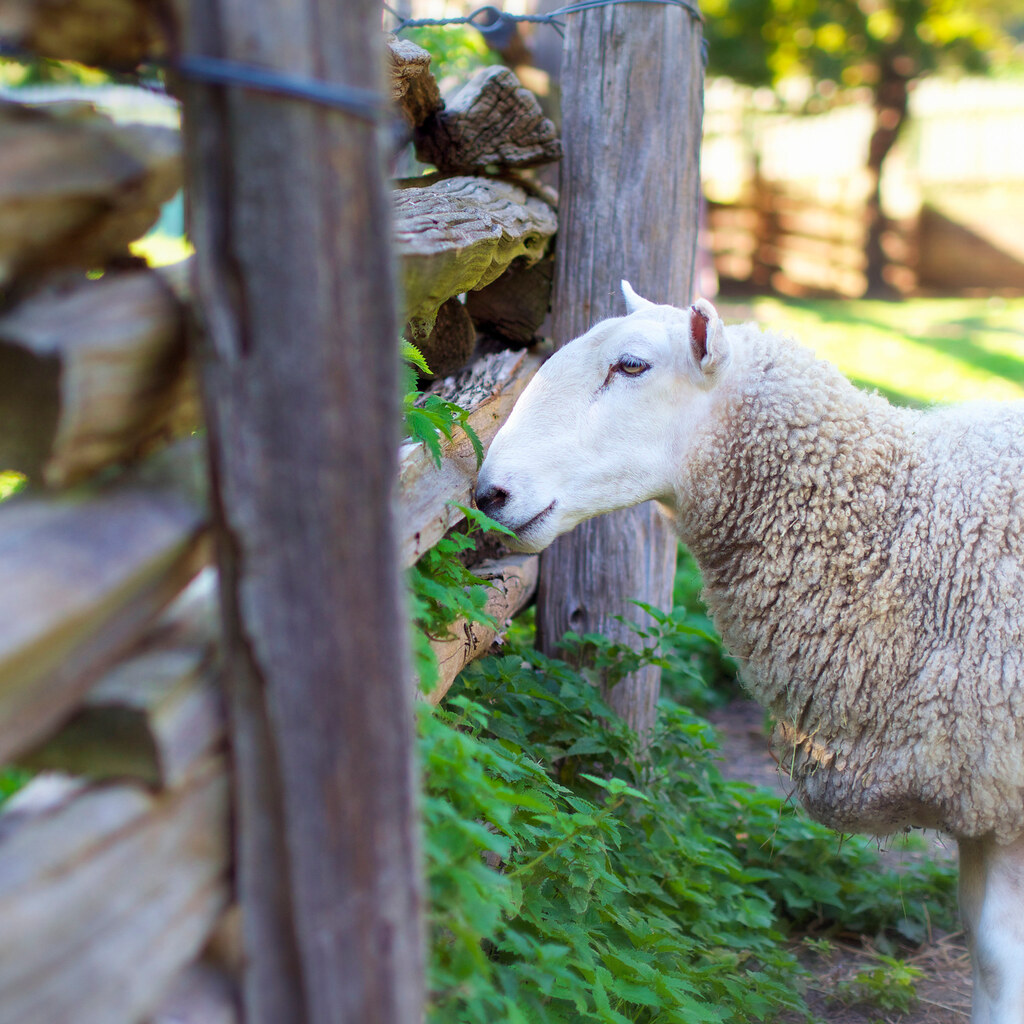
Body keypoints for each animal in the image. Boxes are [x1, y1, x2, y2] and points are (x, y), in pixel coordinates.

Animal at [474, 282, 1024, 1024]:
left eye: (632, 366)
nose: (488, 494)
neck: (906, 534)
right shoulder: (977, 784)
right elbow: (982, 946)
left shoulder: (1000, 786)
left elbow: (996, 953)